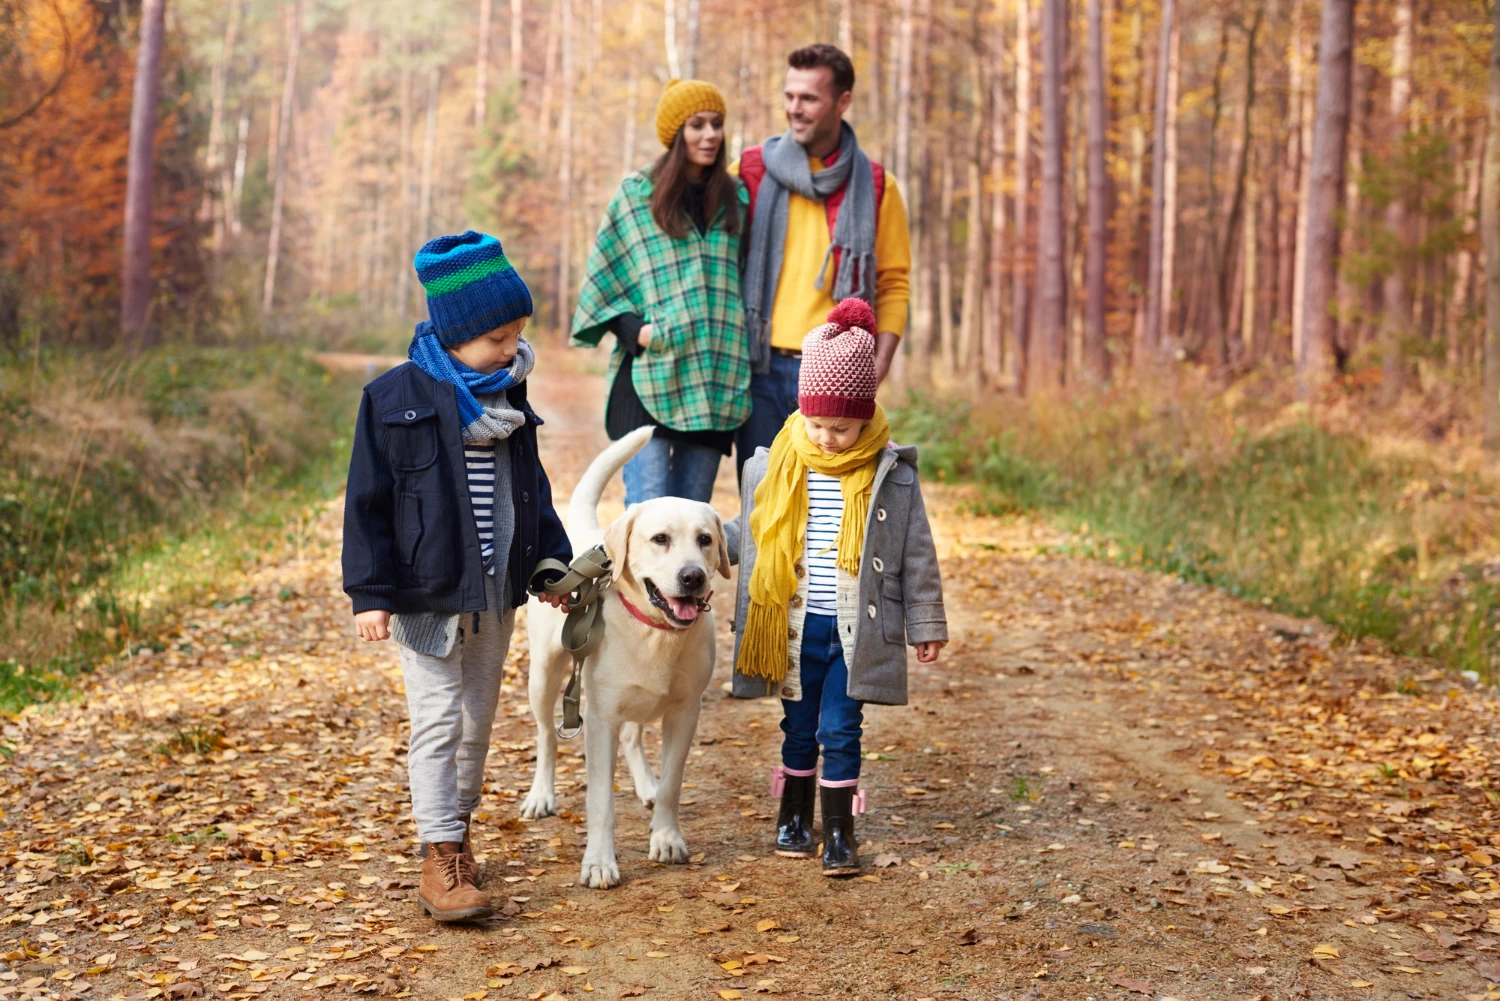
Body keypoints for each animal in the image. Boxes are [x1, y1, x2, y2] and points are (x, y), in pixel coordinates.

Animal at [519, 426, 729, 888]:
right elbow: (601, 802)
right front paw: (599, 862)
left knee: (634, 738)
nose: (693, 576)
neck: (656, 632)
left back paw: (646, 785)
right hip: (543, 676)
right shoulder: (599, 721)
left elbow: (672, 784)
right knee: (545, 736)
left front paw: (666, 838)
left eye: (705, 540)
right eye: (660, 539)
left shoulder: (686, 712)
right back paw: (541, 795)